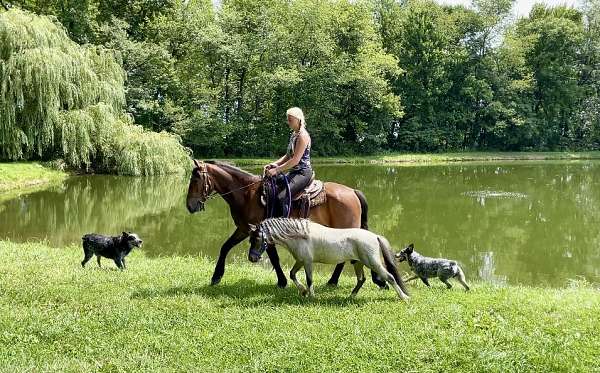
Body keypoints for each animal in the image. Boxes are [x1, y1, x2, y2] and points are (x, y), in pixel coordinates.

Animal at [188, 158, 382, 288]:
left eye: (196, 179)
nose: (189, 205)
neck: (247, 195)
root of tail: (353, 191)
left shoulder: (262, 232)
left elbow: (274, 257)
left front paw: (282, 281)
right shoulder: (243, 229)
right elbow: (225, 247)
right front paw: (216, 277)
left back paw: (333, 281)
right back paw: (334, 281)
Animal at [246, 218, 410, 300]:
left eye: (257, 239)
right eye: (250, 240)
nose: (252, 258)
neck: (299, 235)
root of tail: (374, 236)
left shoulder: (307, 262)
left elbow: (309, 279)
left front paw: (311, 296)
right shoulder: (300, 261)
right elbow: (292, 274)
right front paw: (303, 291)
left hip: (373, 263)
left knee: (389, 277)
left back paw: (404, 297)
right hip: (358, 263)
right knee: (361, 279)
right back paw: (351, 296)